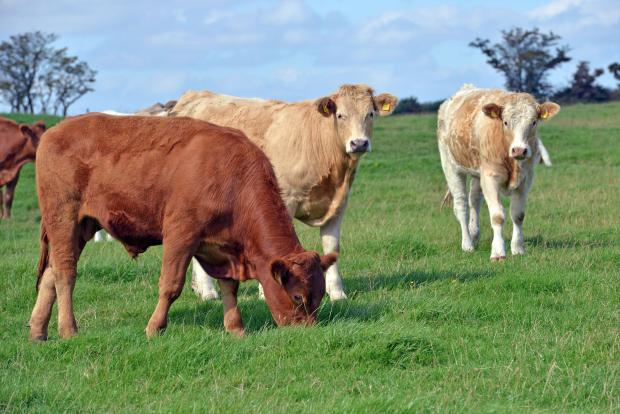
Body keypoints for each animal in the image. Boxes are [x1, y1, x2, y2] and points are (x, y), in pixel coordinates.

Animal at [30, 113, 336, 340]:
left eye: (320, 295)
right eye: (297, 296)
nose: (305, 332)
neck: (232, 178)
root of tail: (55, 131)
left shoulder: (223, 247)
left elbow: (230, 288)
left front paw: (236, 328)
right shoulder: (181, 234)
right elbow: (171, 285)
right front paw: (154, 328)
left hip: (81, 227)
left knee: (51, 274)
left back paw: (38, 330)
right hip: (63, 218)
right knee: (65, 274)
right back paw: (68, 329)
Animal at [170, 83, 398, 300]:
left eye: (370, 114)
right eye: (340, 115)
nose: (359, 143)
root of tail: (195, 96)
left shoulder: (338, 204)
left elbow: (332, 247)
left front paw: (337, 293)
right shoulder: (285, 200)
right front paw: (267, 293)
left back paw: (201, 289)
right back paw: (208, 291)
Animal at [436, 84, 560, 260]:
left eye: (534, 122)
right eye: (506, 122)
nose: (519, 150)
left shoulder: (526, 179)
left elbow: (518, 215)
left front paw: (518, 248)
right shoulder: (490, 178)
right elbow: (497, 216)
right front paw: (498, 252)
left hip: (477, 173)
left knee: (474, 200)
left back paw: (474, 233)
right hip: (451, 167)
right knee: (461, 206)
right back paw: (467, 244)